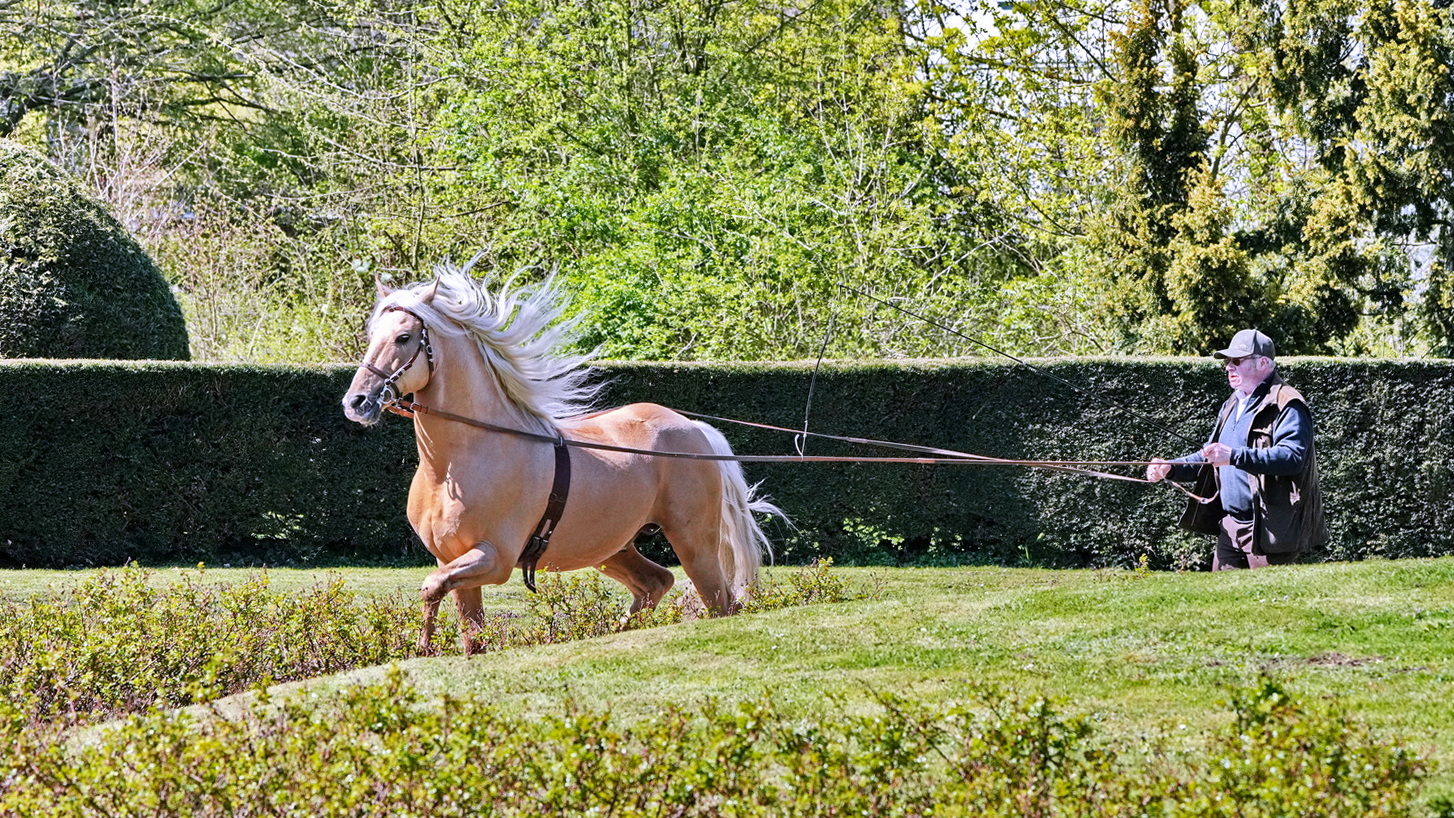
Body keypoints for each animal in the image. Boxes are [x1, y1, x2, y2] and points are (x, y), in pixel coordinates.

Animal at [343, 265, 785, 656]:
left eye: (404, 337)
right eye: (372, 335)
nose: (356, 402)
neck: (456, 465)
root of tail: (694, 429)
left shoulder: (494, 557)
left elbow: (430, 586)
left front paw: (422, 647)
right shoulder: (453, 559)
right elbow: (471, 635)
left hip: (694, 543)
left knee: (720, 603)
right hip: (612, 548)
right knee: (655, 583)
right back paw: (615, 633)